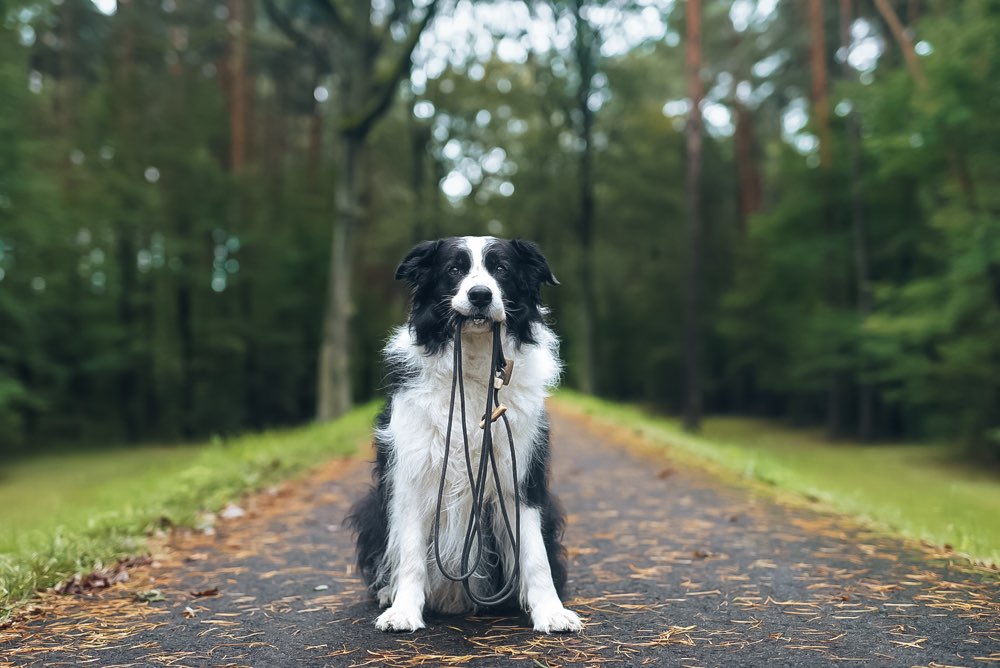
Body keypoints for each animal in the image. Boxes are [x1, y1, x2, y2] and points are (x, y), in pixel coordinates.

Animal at [348, 237, 584, 636]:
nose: (480, 295)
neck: (474, 359)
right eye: (454, 270)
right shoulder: (414, 475)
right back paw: (387, 592)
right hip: (372, 505)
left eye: (501, 269)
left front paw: (551, 612)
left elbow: (535, 553)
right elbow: (410, 552)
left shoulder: (520, 477)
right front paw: (404, 611)